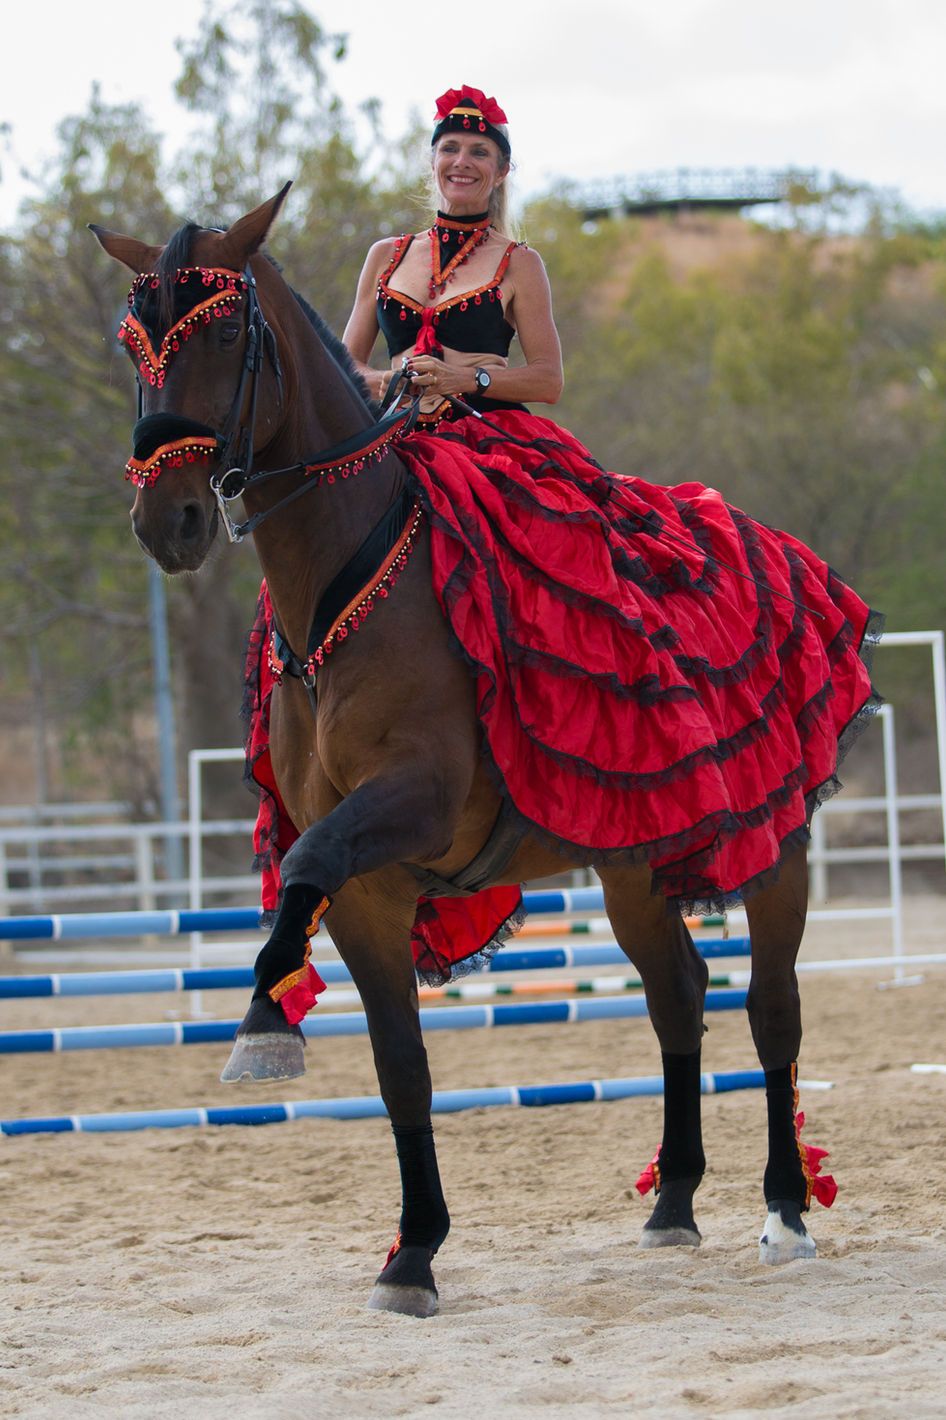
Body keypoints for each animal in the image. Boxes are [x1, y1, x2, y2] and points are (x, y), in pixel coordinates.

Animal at [92, 188, 835, 1317]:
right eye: (135, 341)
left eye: (220, 333)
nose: (163, 523)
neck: (347, 583)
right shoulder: (372, 887)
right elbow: (400, 1061)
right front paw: (412, 1253)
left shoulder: (420, 799)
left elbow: (301, 867)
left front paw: (264, 1019)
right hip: (631, 867)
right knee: (678, 993)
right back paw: (671, 1202)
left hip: (771, 846)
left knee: (770, 1009)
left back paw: (786, 1211)